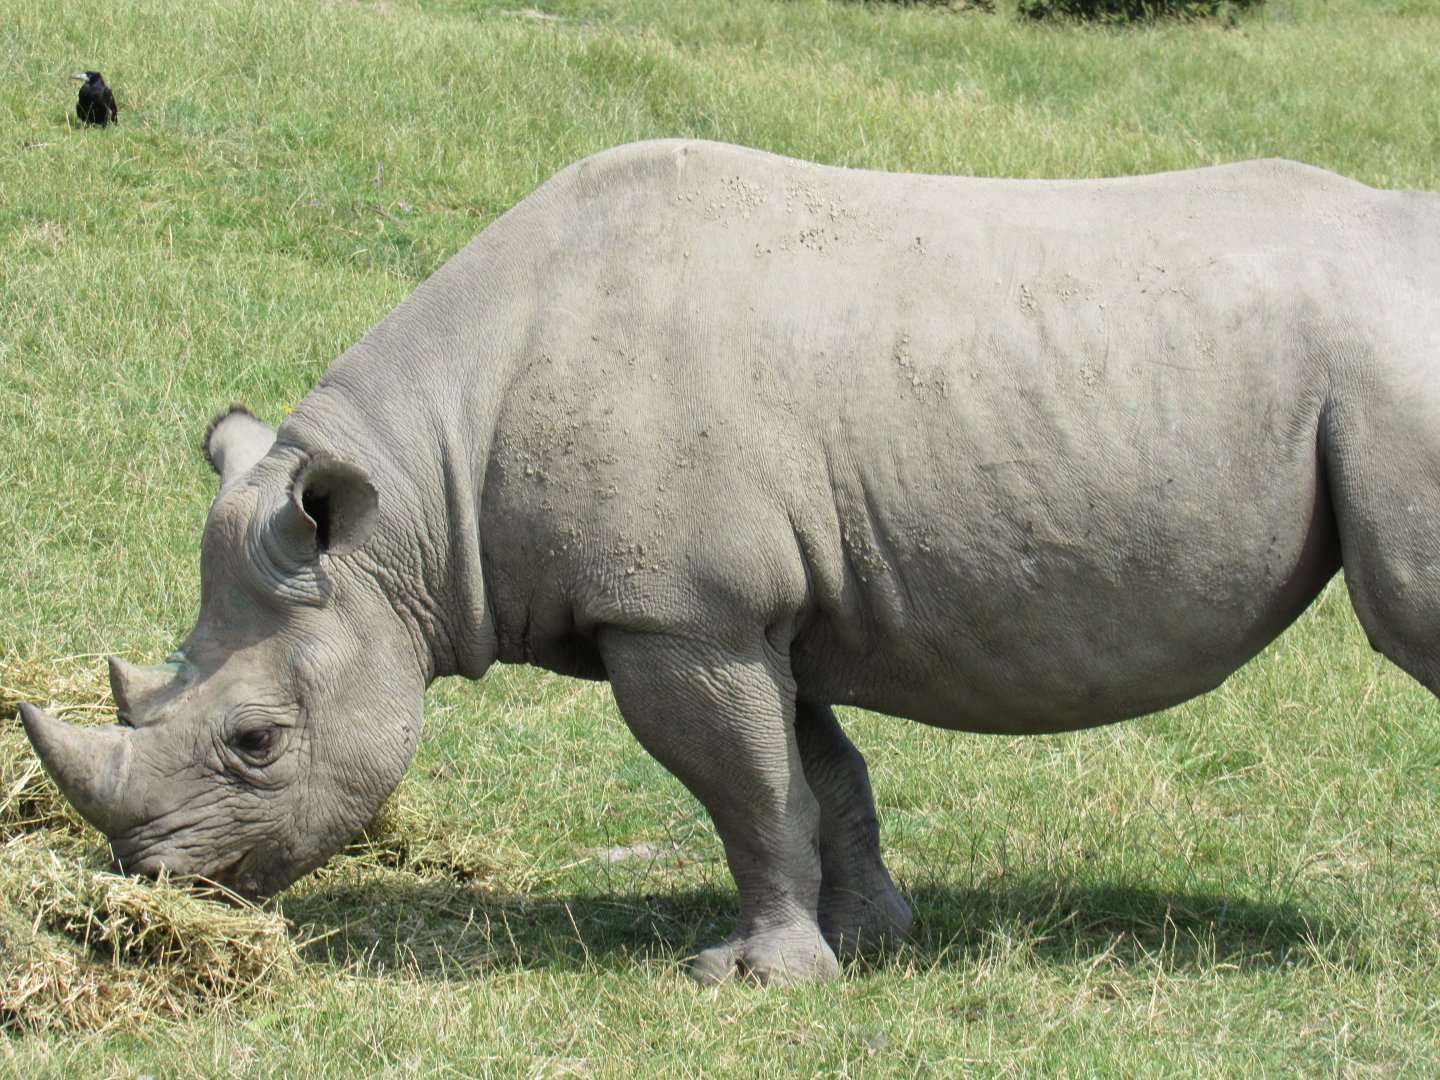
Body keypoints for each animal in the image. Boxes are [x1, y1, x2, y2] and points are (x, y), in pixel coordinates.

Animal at [19, 140, 1440, 984]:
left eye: (256, 743)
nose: (157, 883)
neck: (410, 510)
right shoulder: (748, 607)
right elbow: (817, 775)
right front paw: (867, 942)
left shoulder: (680, 616)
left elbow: (746, 792)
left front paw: (749, 983)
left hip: (1392, 367)